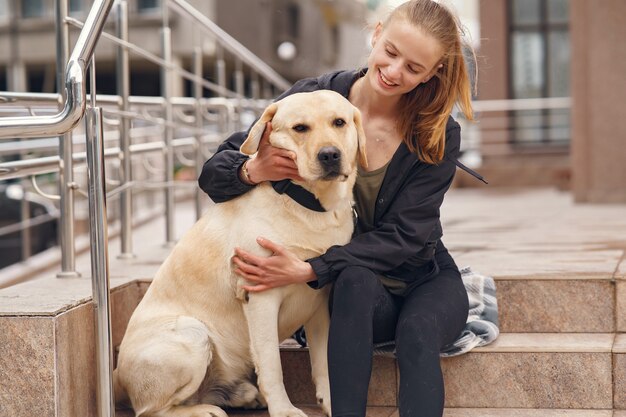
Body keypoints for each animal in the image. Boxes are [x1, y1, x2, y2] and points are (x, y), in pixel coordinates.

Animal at [114, 90, 364, 416]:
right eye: (300, 128)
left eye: (339, 122)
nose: (330, 155)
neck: (310, 206)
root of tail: (116, 375)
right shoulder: (260, 296)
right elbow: (271, 365)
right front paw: (284, 409)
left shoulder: (320, 300)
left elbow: (323, 362)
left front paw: (331, 401)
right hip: (193, 333)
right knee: (151, 410)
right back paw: (204, 409)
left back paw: (241, 395)